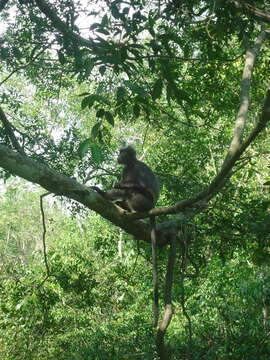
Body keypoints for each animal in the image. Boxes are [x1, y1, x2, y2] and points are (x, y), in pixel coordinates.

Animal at [93, 145, 160, 324]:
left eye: (121, 153)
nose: (118, 156)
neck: (130, 165)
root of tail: (152, 208)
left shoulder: (135, 169)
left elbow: (138, 185)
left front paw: (117, 185)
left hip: (144, 201)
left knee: (132, 190)